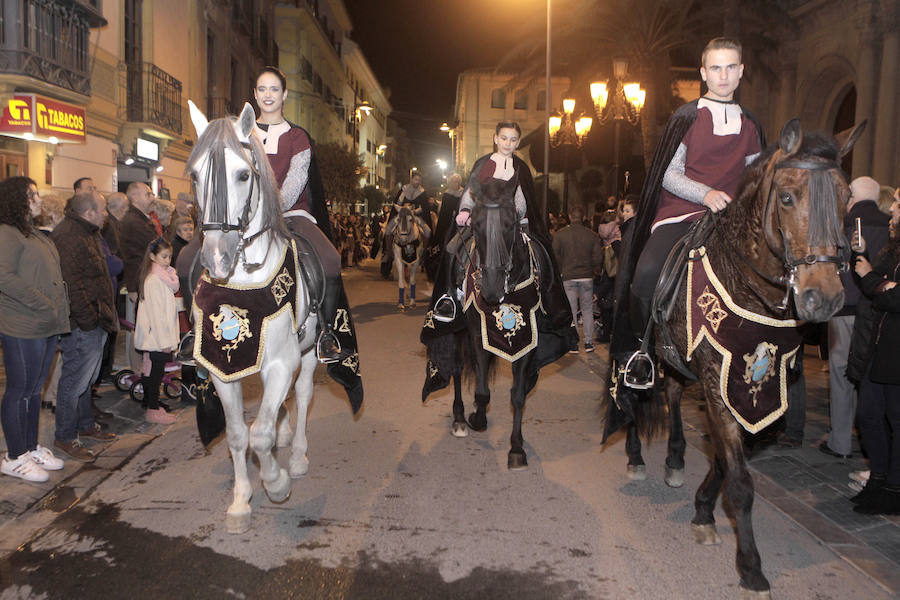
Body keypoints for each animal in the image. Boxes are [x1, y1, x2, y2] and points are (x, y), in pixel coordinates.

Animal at [186, 102, 320, 536]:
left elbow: (259, 434)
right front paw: (241, 501)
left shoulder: (281, 362)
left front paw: (276, 483)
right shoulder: (221, 369)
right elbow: (237, 434)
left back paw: (296, 456)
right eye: (194, 175)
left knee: (303, 394)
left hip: (310, 352)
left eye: (244, 174)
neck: (243, 279)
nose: (217, 258)